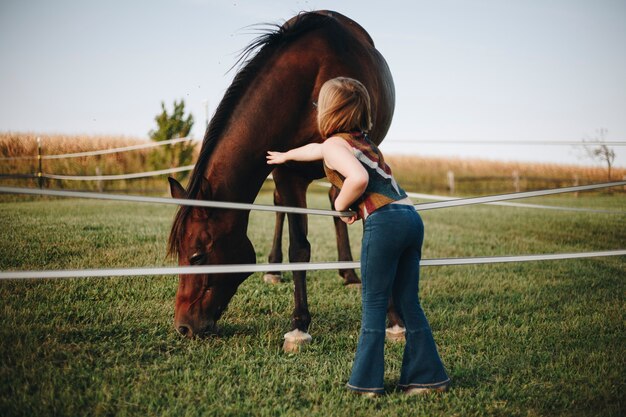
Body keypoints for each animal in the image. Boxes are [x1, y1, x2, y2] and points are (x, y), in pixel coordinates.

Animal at [168, 9, 398, 344]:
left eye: (197, 256)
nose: (183, 326)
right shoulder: (287, 172)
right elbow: (298, 247)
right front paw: (300, 324)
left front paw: (393, 320)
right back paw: (274, 269)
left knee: (335, 202)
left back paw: (349, 273)